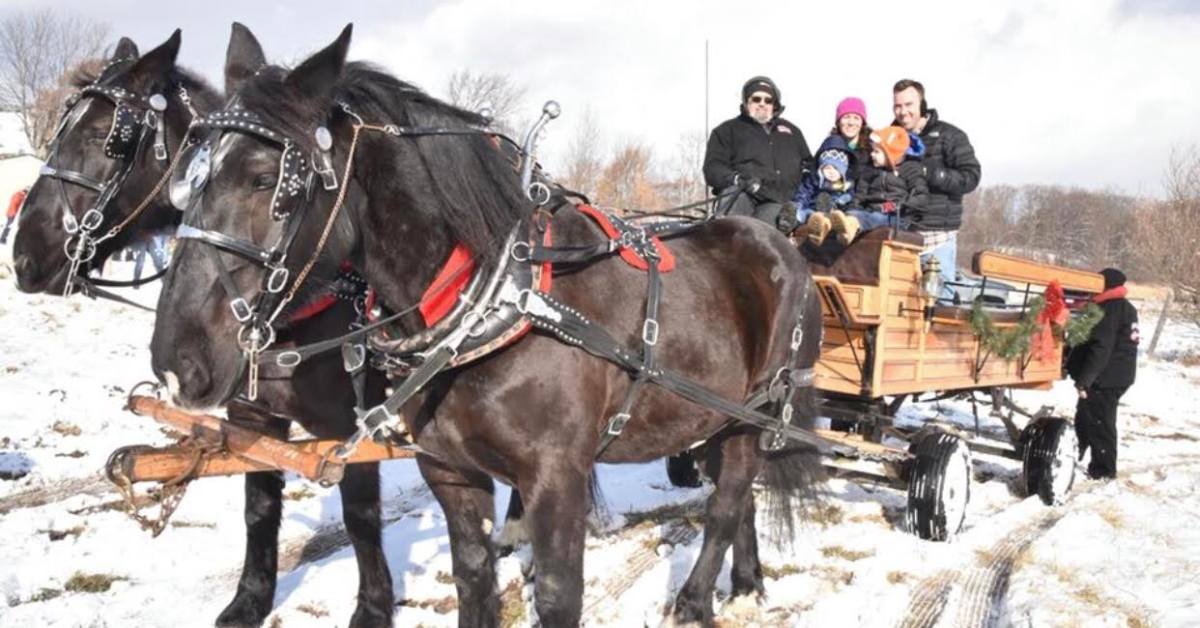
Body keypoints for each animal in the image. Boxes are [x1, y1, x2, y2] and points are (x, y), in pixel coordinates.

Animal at [11, 27, 396, 628]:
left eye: (104, 136)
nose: (24, 257)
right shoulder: (250, 415)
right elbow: (258, 505)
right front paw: (249, 600)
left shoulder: (350, 423)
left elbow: (360, 513)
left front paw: (375, 607)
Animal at [150, 24, 824, 627]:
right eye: (188, 175)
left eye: (266, 180)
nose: (177, 361)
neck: (496, 298)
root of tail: (781, 243)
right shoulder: (450, 474)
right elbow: (473, 580)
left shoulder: (556, 480)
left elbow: (557, 597)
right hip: (715, 415)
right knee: (737, 499)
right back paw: (745, 581)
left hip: (756, 413)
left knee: (728, 502)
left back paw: (695, 602)